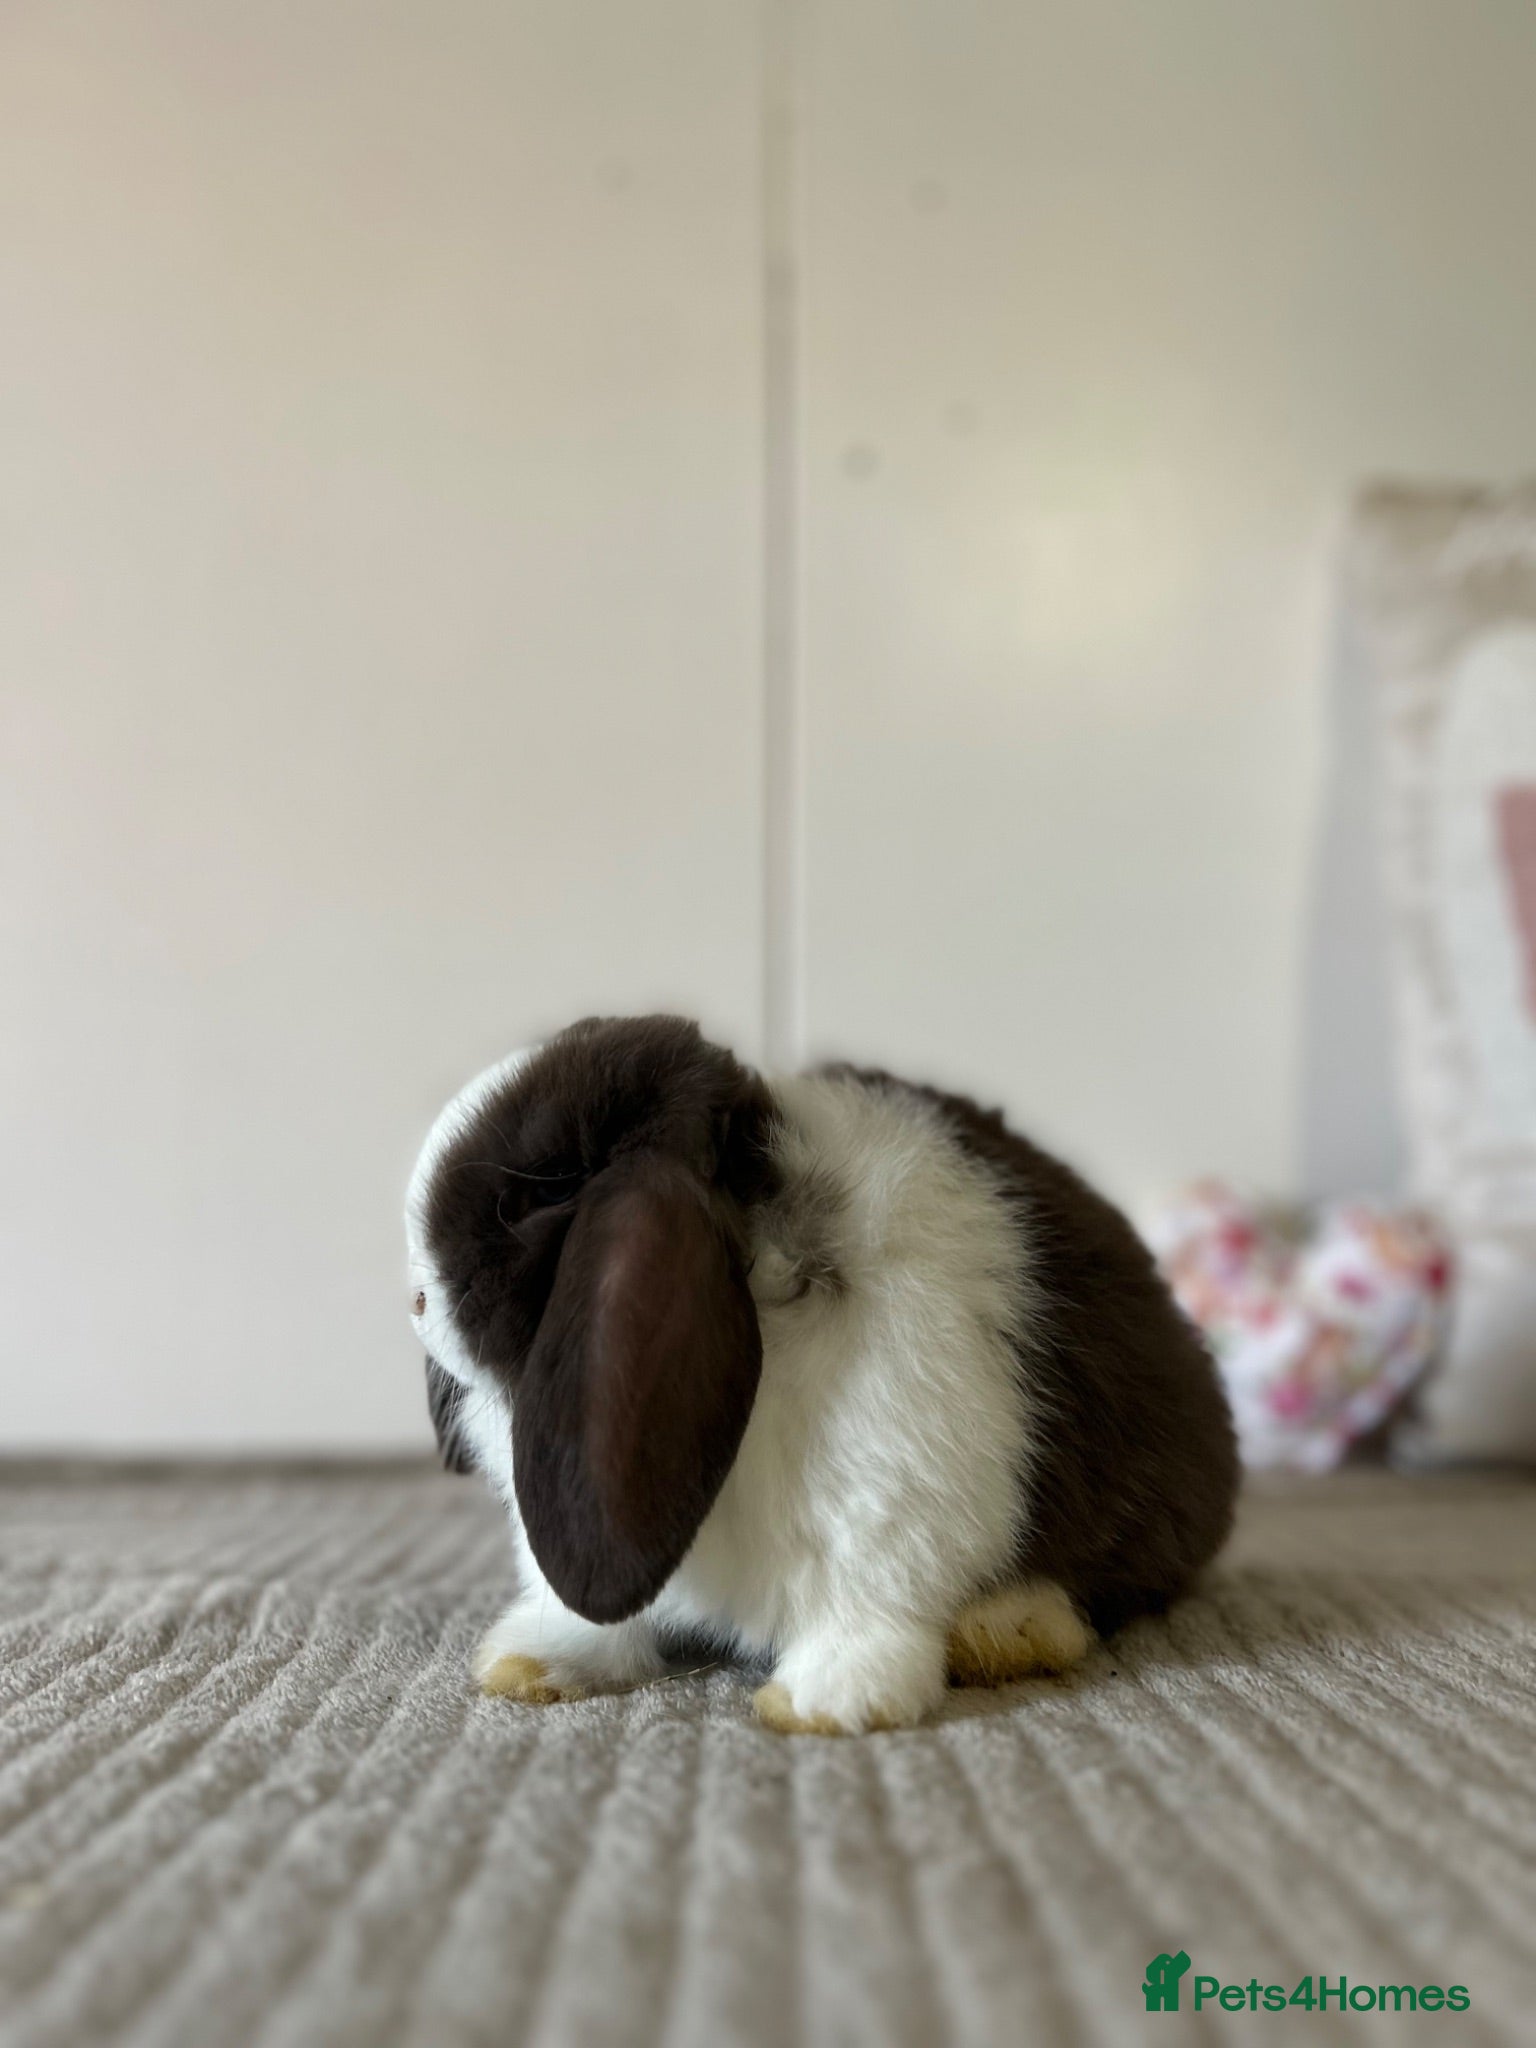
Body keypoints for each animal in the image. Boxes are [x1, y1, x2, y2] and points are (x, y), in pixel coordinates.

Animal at [405, 1015, 1238, 1734]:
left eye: (543, 1189)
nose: (414, 1299)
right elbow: (592, 1619)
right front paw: (528, 1666)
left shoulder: (893, 1496)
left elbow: (867, 1610)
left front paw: (825, 1707)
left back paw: (1006, 1631)